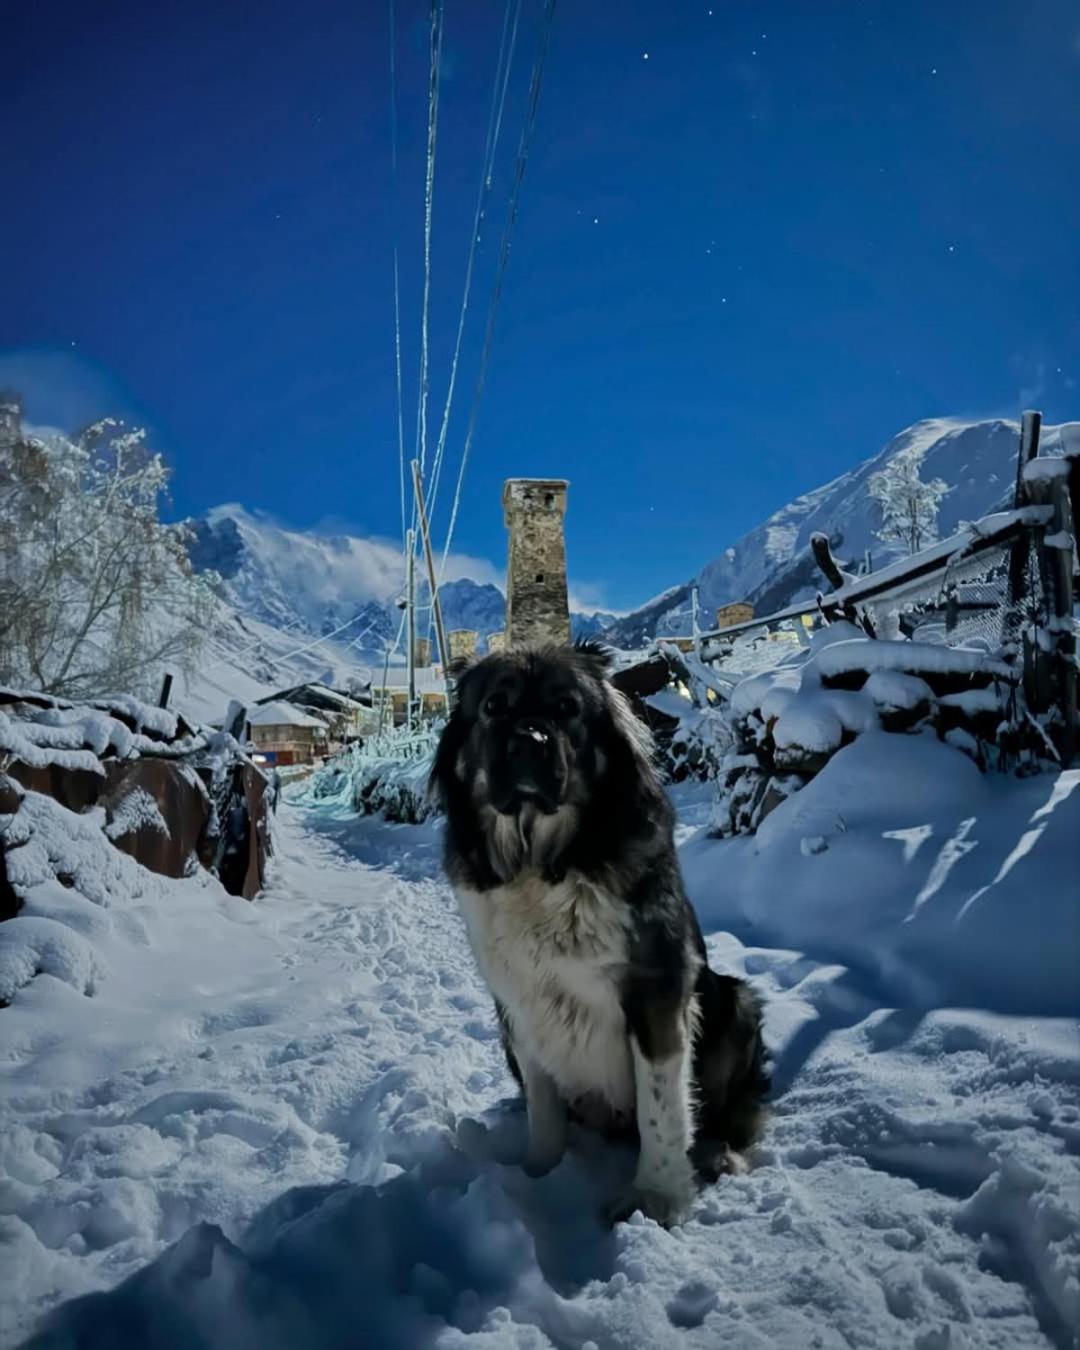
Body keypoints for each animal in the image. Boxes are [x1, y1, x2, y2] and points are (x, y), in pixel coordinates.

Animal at [429, 639, 766, 1225]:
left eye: (567, 708)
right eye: (494, 706)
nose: (530, 740)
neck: (543, 864)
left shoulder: (657, 988)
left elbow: (660, 1106)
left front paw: (656, 1199)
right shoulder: (517, 1001)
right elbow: (543, 1105)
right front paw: (540, 1175)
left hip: (736, 1002)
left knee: (734, 1107)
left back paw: (722, 1154)